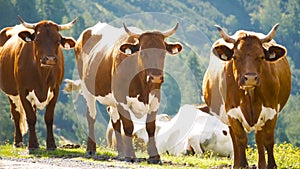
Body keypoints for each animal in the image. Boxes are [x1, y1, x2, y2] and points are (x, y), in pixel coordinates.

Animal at [0, 15, 77, 150]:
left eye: (58, 41)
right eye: (37, 40)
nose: (50, 59)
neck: (42, 75)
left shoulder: (55, 90)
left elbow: (49, 117)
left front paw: (51, 144)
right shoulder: (22, 90)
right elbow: (30, 117)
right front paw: (32, 144)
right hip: (11, 92)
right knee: (16, 114)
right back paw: (18, 142)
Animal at [70, 21, 183, 163]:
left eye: (163, 53)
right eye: (143, 53)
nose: (156, 77)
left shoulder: (155, 99)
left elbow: (150, 127)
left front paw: (155, 156)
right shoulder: (121, 98)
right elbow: (129, 126)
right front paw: (131, 156)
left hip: (112, 99)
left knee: (114, 119)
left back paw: (121, 152)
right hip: (87, 89)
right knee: (91, 117)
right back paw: (91, 149)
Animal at [203, 24, 292, 169]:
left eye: (261, 56)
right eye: (235, 57)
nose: (250, 78)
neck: (249, 94)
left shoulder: (271, 111)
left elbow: (268, 139)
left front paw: (271, 165)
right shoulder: (232, 112)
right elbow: (240, 139)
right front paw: (241, 164)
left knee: (259, 137)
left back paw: (261, 163)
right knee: (234, 137)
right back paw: (238, 163)